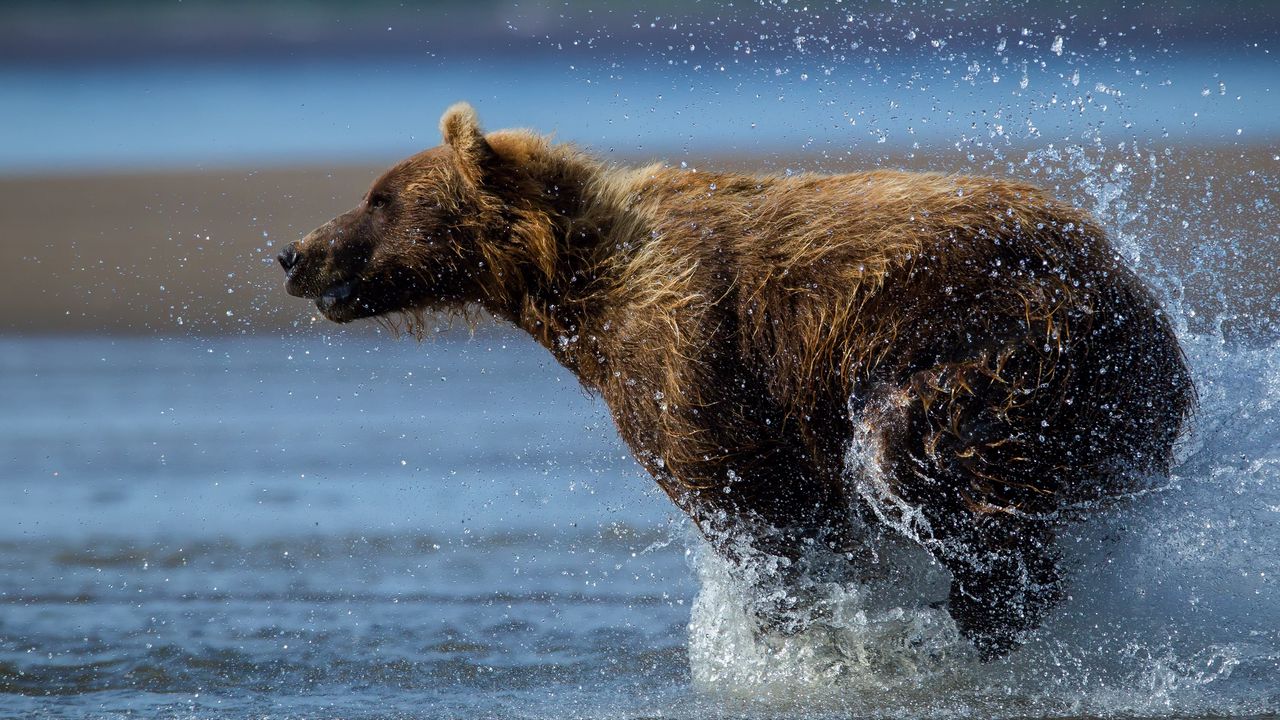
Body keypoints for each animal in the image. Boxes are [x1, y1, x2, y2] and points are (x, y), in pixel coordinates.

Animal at [280, 101, 1198, 655]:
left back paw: (981, 608)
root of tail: (1135, 289)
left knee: (919, 455)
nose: (293, 250)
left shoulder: (690, 359)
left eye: (380, 197)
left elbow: (759, 515)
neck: (580, 288)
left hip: (1012, 344)